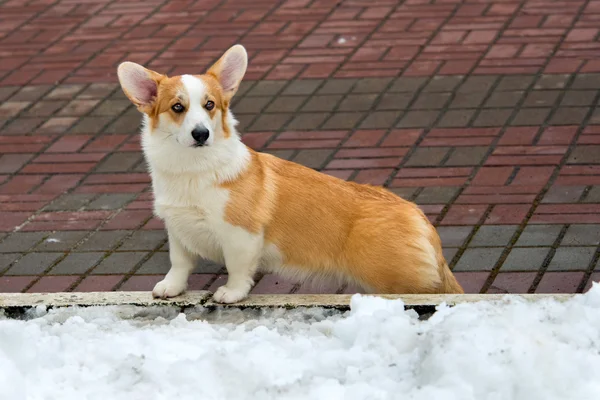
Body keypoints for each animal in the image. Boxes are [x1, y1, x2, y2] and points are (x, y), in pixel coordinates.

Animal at [117, 44, 464, 304]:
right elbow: (179, 263)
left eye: (210, 105)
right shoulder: (177, 228)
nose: (201, 134)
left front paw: (230, 293)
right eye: (177, 107)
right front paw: (170, 288)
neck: (192, 168)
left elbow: (238, 268)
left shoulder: (241, 236)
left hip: (401, 281)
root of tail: (418, 215)